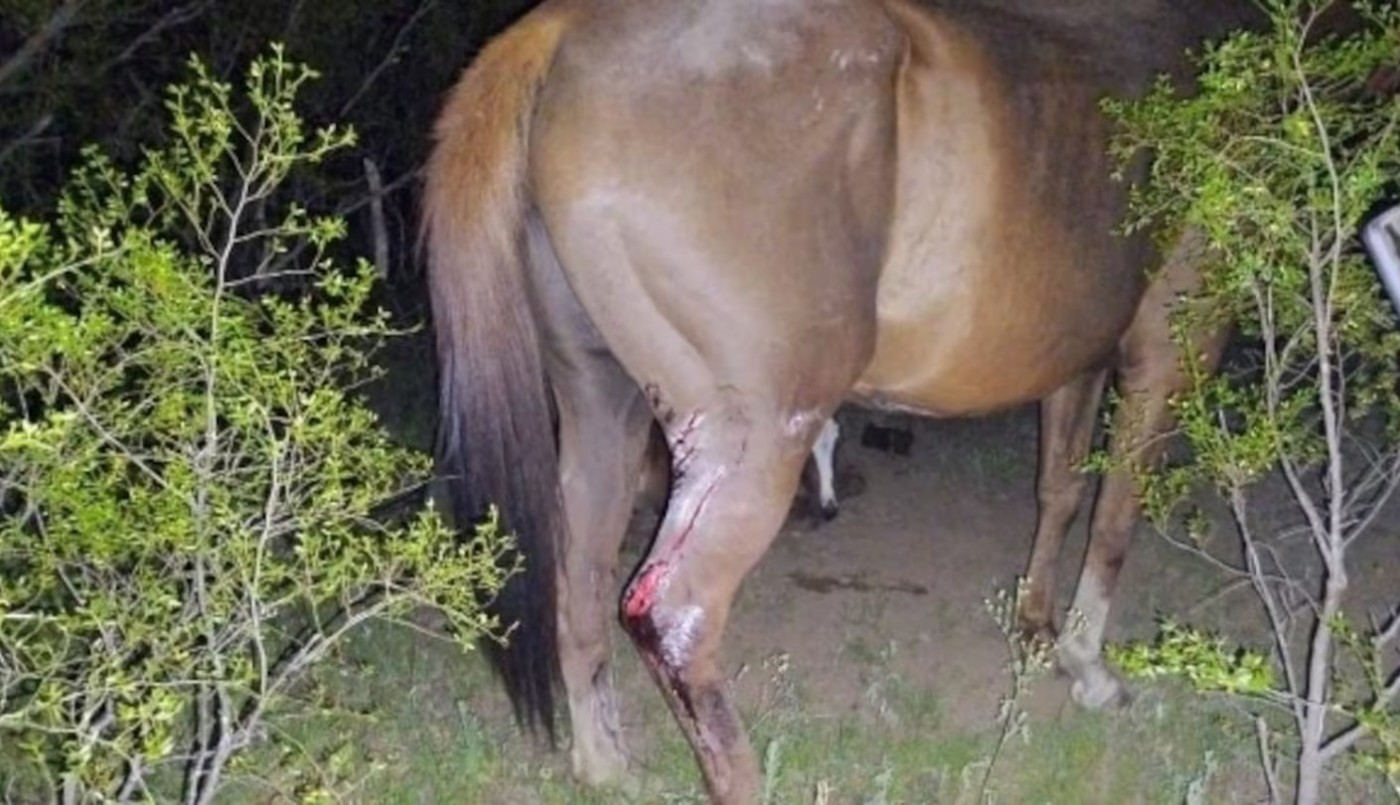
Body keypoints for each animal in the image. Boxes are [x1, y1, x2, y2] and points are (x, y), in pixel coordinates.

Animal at [422, 1, 1253, 801]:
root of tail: (566, 26)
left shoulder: (1076, 361)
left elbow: (1061, 490)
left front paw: (1038, 626)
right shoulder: (1168, 345)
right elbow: (1116, 514)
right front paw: (1088, 664)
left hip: (603, 409)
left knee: (584, 577)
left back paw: (607, 766)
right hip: (750, 444)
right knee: (674, 615)